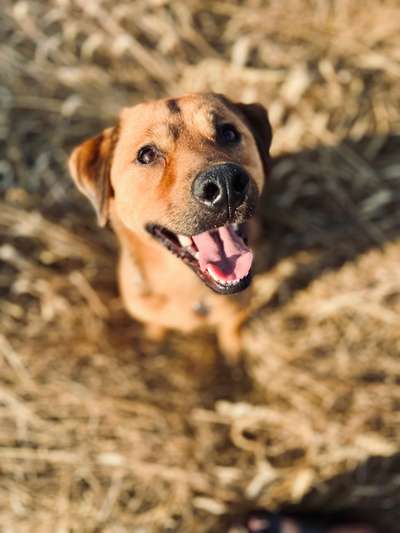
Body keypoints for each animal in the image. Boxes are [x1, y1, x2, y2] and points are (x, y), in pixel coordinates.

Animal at [69, 92, 272, 362]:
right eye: (146, 155)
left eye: (228, 133)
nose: (225, 183)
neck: (186, 289)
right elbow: (157, 325)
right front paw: (153, 341)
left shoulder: (238, 309)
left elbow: (231, 327)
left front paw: (233, 353)